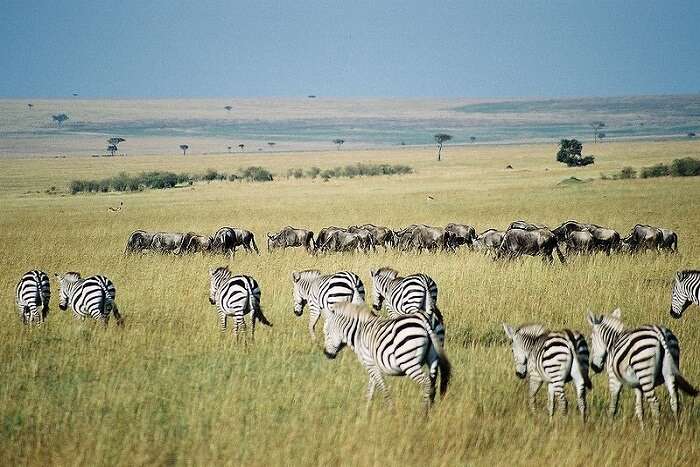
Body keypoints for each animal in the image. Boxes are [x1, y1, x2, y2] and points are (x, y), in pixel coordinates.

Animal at [324, 302, 454, 414]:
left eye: (326, 333)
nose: (326, 354)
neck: (359, 332)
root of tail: (423, 318)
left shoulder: (370, 363)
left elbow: (382, 387)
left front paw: (391, 410)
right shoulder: (373, 365)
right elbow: (371, 388)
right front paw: (366, 410)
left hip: (408, 362)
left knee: (426, 382)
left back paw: (423, 412)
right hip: (433, 357)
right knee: (432, 383)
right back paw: (430, 410)